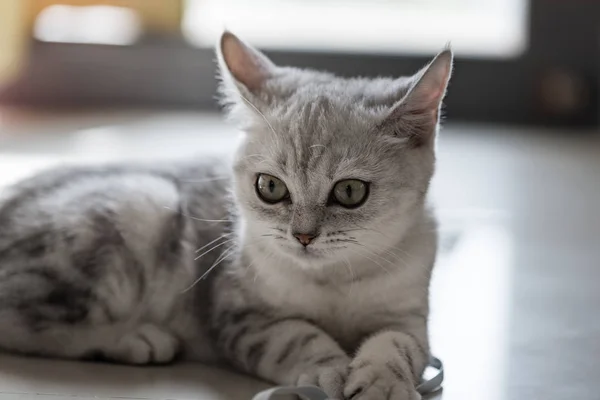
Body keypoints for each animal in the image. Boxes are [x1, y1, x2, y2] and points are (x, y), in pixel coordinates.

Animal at [0, 33, 450, 400]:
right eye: (270, 187)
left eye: (350, 192)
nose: (303, 236)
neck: (332, 281)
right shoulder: (240, 315)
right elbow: (297, 337)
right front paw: (331, 369)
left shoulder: (408, 318)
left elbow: (397, 345)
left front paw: (382, 382)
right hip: (144, 201)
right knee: (23, 322)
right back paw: (133, 338)